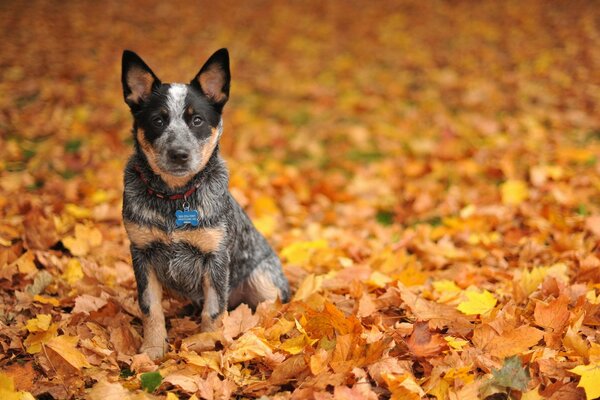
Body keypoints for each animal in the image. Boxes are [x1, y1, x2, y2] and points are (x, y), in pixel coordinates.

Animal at [120, 47, 290, 360]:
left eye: (196, 120)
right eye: (158, 120)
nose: (179, 153)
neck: (174, 198)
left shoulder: (216, 258)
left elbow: (214, 311)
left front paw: (206, 348)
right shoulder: (141, 253)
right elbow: (150, 307)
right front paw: (152, 350)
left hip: (264, 280)